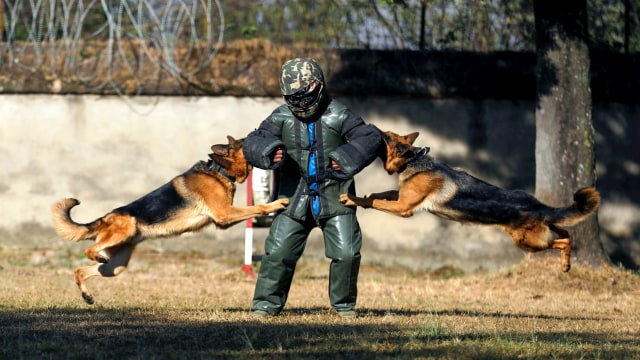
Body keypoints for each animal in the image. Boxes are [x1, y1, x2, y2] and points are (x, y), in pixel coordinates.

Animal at [52, 136, 288, 304]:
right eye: (247, 140)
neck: (219, 170)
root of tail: (104, 218)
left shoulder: (224, 220)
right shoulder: (226, 213)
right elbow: (256, 207)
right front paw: (275, 204)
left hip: (115, 266)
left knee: (81, 270)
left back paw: (87, 295)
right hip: (123, 232)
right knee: (88, 251)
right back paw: (94, 258)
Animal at [340, 131, 600, 272]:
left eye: (385, 137)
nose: (373, 130)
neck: (414, 161)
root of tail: (538, 206)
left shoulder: (404, 208)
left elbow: (376, 203)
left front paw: (354, 199)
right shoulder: (402, 197)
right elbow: (381, 194)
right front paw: (367, 195)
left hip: (528, 242)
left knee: (561, 241)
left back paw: (565, 262)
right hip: (543, 230)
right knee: (566, 233)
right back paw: (566, 263)